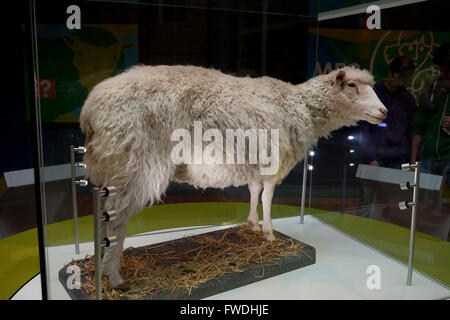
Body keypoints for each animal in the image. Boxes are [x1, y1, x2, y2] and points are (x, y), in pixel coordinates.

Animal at [79, 63, 384, 288]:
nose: (384, 111)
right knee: (117, 219)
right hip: (135, 164)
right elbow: (268, 195)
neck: (301, 107)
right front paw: (269, 233)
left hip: (113, 168)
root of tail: (90, 109)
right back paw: (114, 276)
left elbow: (254, 191)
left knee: (106, 215)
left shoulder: (256, 160)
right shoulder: (274, 160)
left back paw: (102, 263)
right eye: (352, 86)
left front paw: (251, 225)